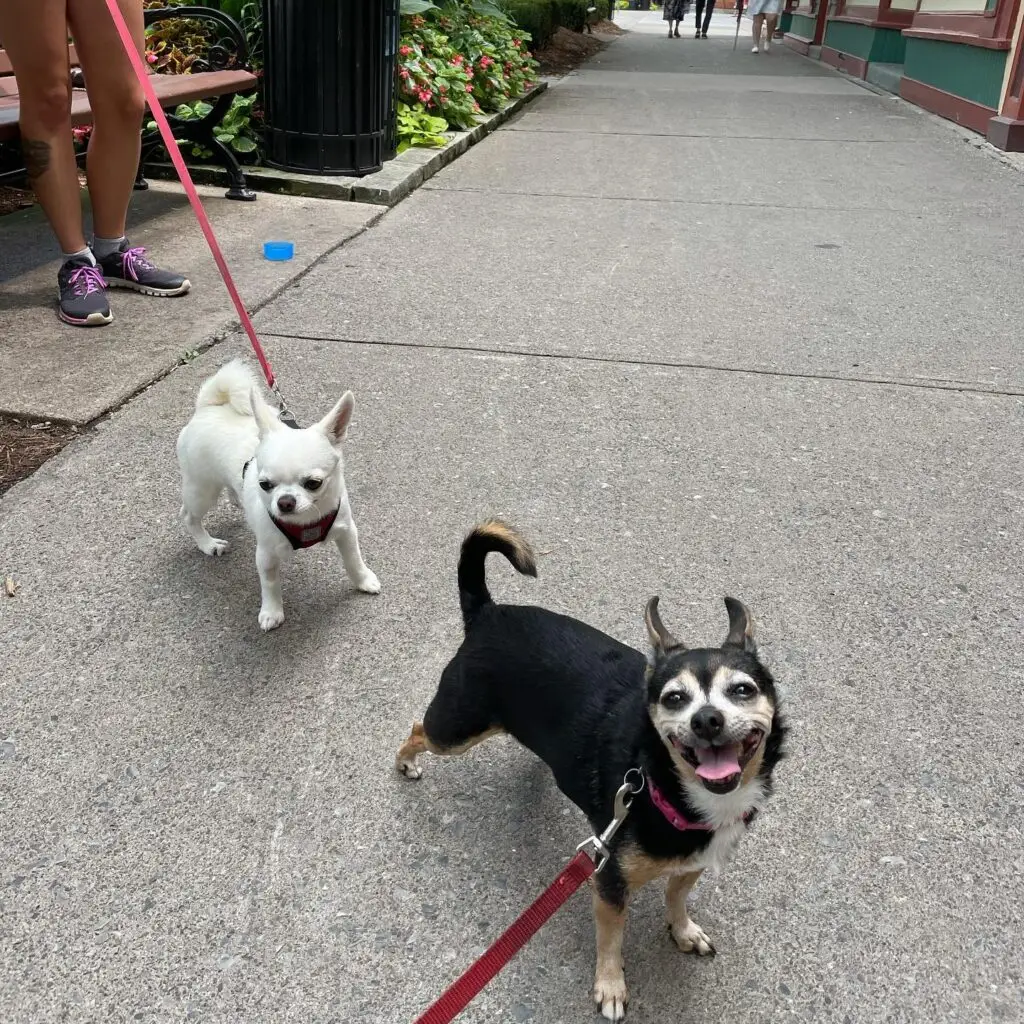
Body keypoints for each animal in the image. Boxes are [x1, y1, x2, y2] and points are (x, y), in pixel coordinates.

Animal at [175, 359, 380, 631]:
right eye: (264, 484)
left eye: (314, 483)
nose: (285, 502)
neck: (306, 521)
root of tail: (207, 408)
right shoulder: (267, 554)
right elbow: (270, 584)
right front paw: (272, 612)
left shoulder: (346, 531)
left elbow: (353, 560)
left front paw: (363, 580)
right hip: (202, 490)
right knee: (189, 516)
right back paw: (208, 544)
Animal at [395, 520, 785, 1020]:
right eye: (674, 698)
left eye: (742, 690)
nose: (707, 720)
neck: (662, 783)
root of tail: (488, 613)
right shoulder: (609, 880)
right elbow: (611, 939)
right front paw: (611, 986)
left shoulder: (692, 862)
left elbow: (676, 897)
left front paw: (682, 930)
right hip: (456, 730)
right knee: (418, 728)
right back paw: (405, 762)